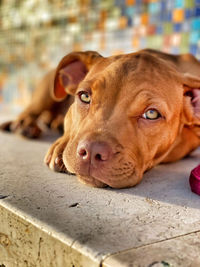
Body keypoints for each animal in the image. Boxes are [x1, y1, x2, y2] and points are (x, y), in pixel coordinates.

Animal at [1, 49, 200, 188]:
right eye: (84, 96)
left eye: (151, 114)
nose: (91, 151)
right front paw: (62, 145)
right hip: (46, 89)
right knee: (33, 109)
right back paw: (25, 124)